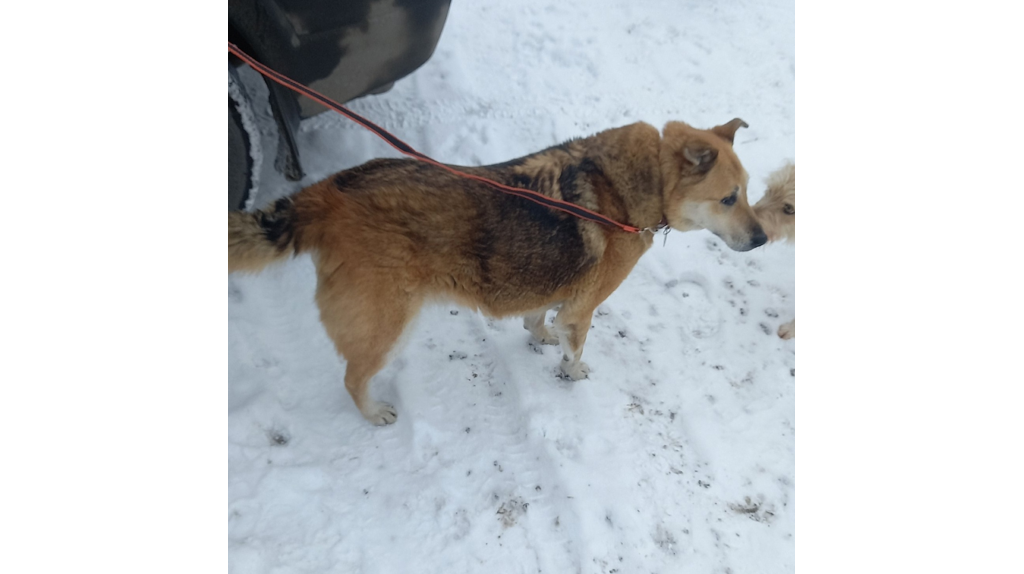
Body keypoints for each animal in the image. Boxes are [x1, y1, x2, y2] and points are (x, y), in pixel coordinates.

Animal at [228, 118, 765, 423]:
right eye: (728, 198)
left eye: (746, 190)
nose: (762, 238)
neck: (639, 179)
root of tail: (329, 190)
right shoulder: (584, 309)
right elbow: (574, 349)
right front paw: (572, 372)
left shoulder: (558, 289)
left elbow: (539, 316)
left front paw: (539, 335)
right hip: (386, 324)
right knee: (352, 377)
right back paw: (373, 411)